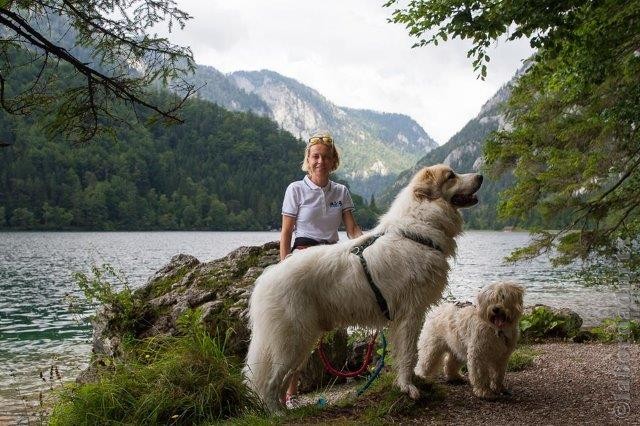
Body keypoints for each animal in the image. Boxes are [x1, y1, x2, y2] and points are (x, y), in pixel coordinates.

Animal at [244, 165, 480, 412]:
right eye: (451, 176)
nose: (481, 176)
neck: (417, 231)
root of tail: (265, 280)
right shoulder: (410, 314)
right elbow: (408, 354)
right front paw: (409, 388)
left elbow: (404, 355)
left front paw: (407, 384)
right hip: (292, 339)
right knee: (270, 382)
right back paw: (278, 413)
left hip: (301, 340)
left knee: (281, 380)